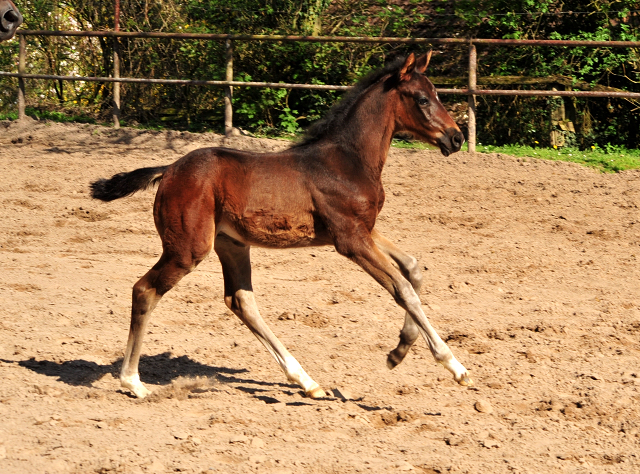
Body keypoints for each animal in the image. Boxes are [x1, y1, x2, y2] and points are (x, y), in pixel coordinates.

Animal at [90, 52, 470, 400]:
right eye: (422, 99)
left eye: (436, 93)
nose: (456, 138)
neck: (348, 160)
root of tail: (168, 170)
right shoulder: (350, 238)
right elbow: (402, 289)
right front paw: (454, 365)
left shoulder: (365, 229)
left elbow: (412, 269)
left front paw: (398, 351)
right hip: (188, 249)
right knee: (145, 290)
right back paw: (133, 382)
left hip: (231, 243)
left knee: (240, 301)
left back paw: (308, 382)